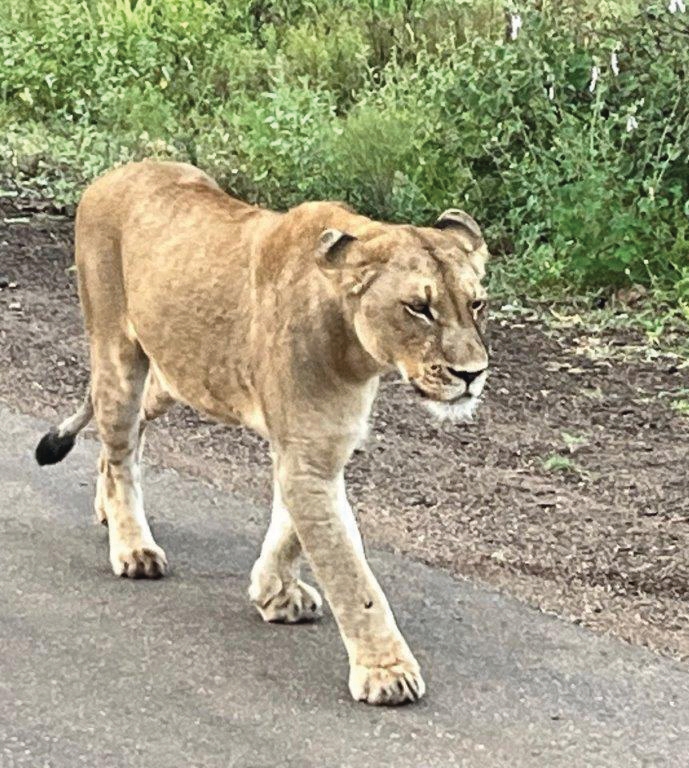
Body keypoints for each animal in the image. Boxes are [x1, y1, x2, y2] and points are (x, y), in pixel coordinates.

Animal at [35, 161, 489, 705]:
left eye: (477, 304)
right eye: (418, 308)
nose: (473, 374)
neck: (356, 351)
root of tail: (114, 173)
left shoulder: (324, 442)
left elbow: (292, 529)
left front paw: (274, 593)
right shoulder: (308, 455)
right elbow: (350, 573)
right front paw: (386, 671)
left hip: (175, 374)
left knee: (122, 435)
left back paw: (106, 509)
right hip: (117, 352)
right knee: (120, 444)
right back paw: (132, 547)